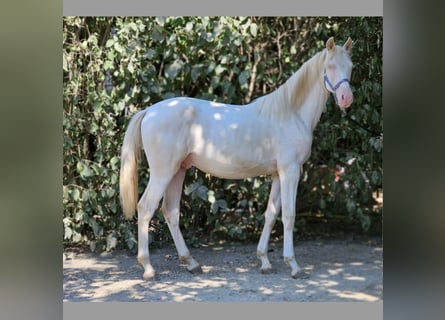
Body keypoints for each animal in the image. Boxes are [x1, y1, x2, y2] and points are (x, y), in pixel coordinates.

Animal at [119, 36, 354, 278]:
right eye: (330, 66)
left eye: (351, 67)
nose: (346, 98)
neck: (291, 113)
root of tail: (149, 111)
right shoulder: (291, 170)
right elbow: (289, 215)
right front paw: (294, 265)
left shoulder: (278, 173)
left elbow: (271, 214)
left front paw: (264, 261)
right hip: (163, 173)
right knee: (145, 208)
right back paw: (148, 267)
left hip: (178, 171)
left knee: (171, 212)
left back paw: (191, 262)